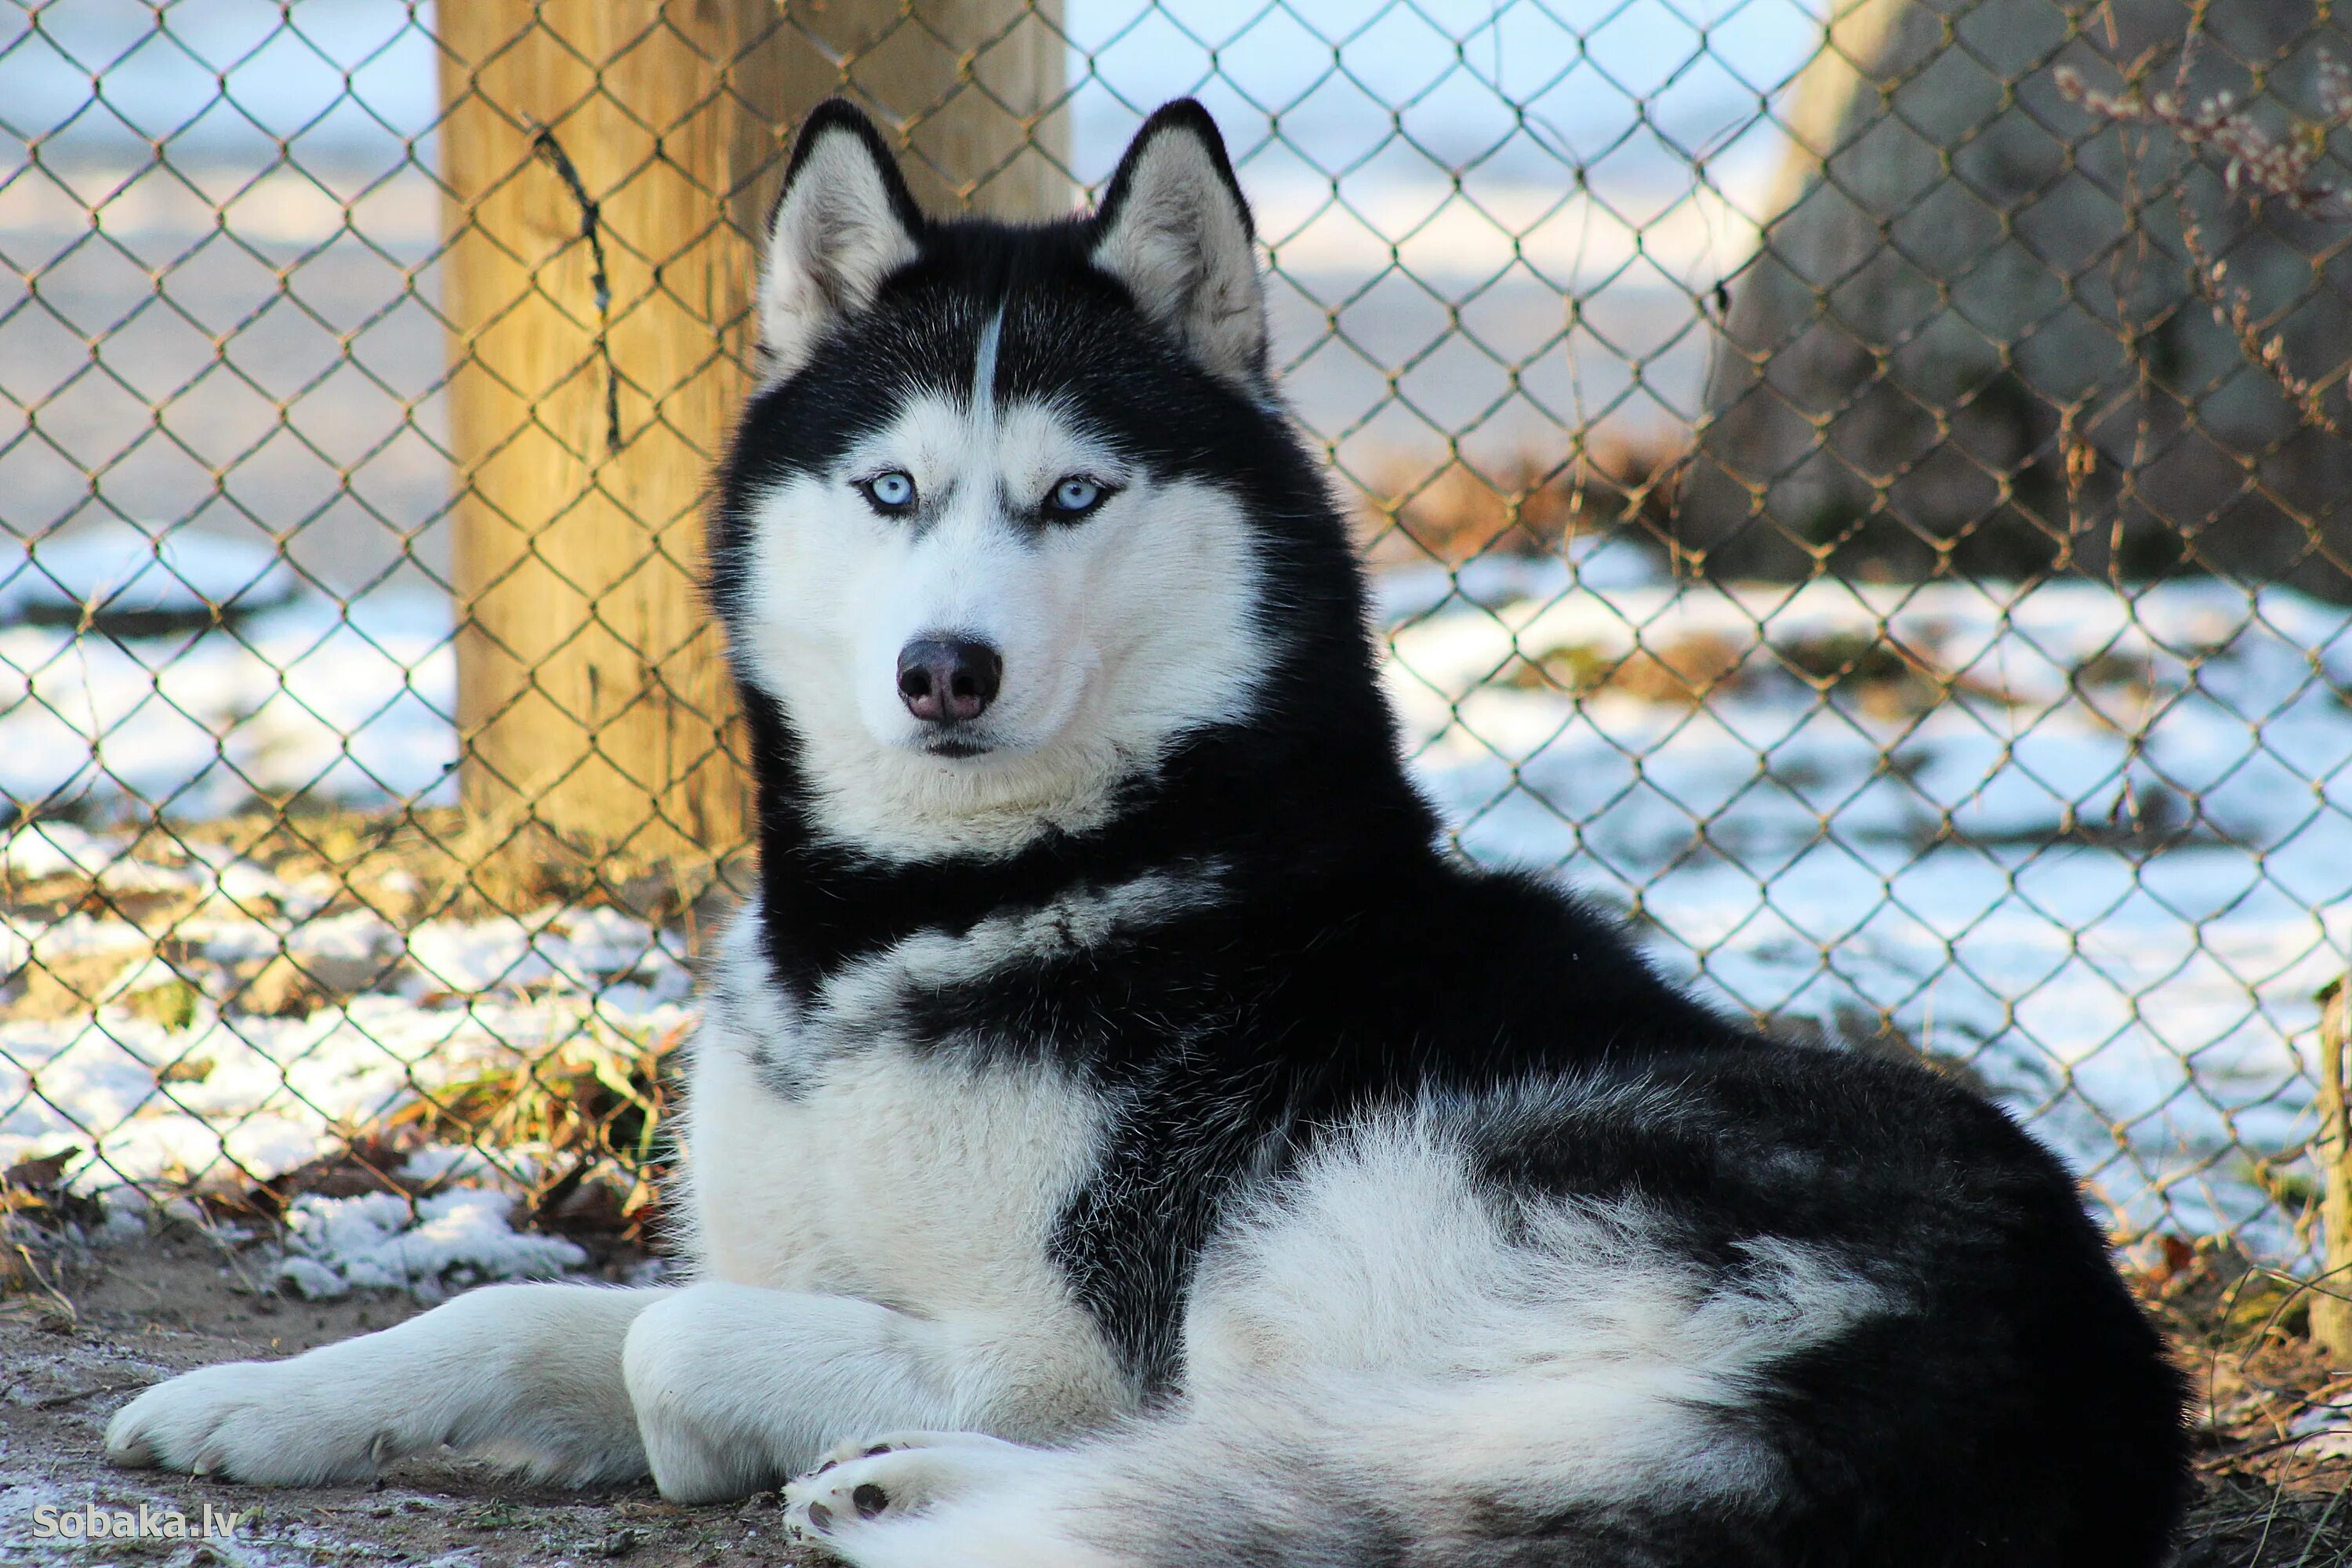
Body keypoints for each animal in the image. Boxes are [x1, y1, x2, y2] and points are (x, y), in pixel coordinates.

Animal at [111, 100, 2192, 1568]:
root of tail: (2077, 1376)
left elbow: (661, 1346)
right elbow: (531, 1310)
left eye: (1071, 497)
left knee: (1287, 1485)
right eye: (892, 489)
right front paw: (258, 1403)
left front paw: (729, 1436)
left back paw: (918, 1496)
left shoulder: (1069, 1338)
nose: (945, 667)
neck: (952, 909)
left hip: (1353, 1214)